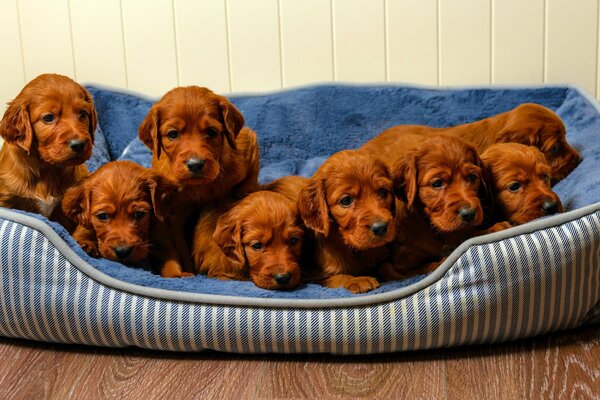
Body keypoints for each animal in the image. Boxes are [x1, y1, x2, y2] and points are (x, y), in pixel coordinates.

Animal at [62, 160, 190, 277]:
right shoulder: (84, 228)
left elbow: (171, 262)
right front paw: (86, 245)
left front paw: (177, 275)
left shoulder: (162, 241)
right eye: (103, 216)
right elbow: (79, 238)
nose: (123, 252)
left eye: (139, 214)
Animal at [138, 86, 260, 276]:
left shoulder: (248, 147)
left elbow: (249, 183)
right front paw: (190, 274)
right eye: (173, 134)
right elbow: (182, 250)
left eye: (211, 132)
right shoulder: (176, 215)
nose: (195, 164)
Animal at [296, 150, 396, 293]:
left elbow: (386, 267)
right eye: (346, 200)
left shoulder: (382, 258)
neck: (354, 250)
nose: (381, 227)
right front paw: (358, 280)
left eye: (383, 192)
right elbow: (339, 277)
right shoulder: (315, 277)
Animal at [362, 134, 509, 280]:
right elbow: (433, 265)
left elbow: (467, 238)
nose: (469, 214)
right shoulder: (404, 267)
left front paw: (494, 228)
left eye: (472, 177)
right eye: (437, 183)